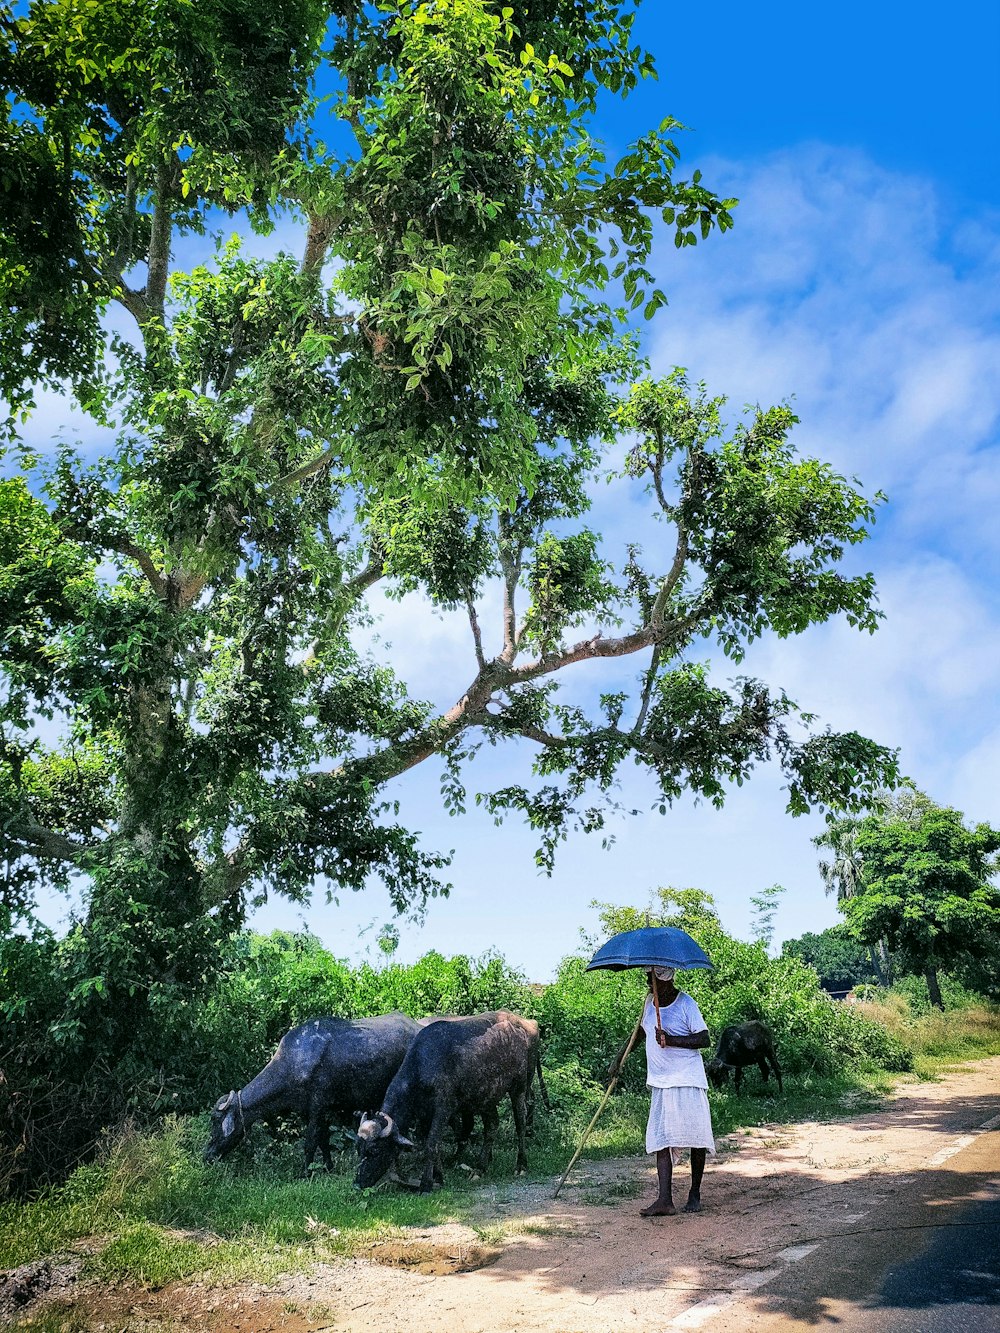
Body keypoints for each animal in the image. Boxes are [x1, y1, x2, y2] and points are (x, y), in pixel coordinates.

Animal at [205, 1013, 421, 1173]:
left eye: (216, 1121)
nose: (207, 1155)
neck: (294, 1062)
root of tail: (417, 1027)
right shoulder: (309, 1110)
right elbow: (323, 1140)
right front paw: (328, 1167)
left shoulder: (318, 1106)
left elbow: (310, 1141)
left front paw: (305, 1172)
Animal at [357, 1007, 552, 1199]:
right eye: (359, 1148)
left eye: (375, 1150)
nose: (357, 1183)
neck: (423, 1067)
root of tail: (526, 1025)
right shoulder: (425, 1115)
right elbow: (432, 1144)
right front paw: (438, 1176)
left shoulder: (443, 1109)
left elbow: (431, 1144)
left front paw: (426, 1184)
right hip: (487, 1097)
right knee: (492, 1126)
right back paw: (480, 1168)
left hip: (519, 1086)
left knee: (520, 1122)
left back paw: (521, 1165)